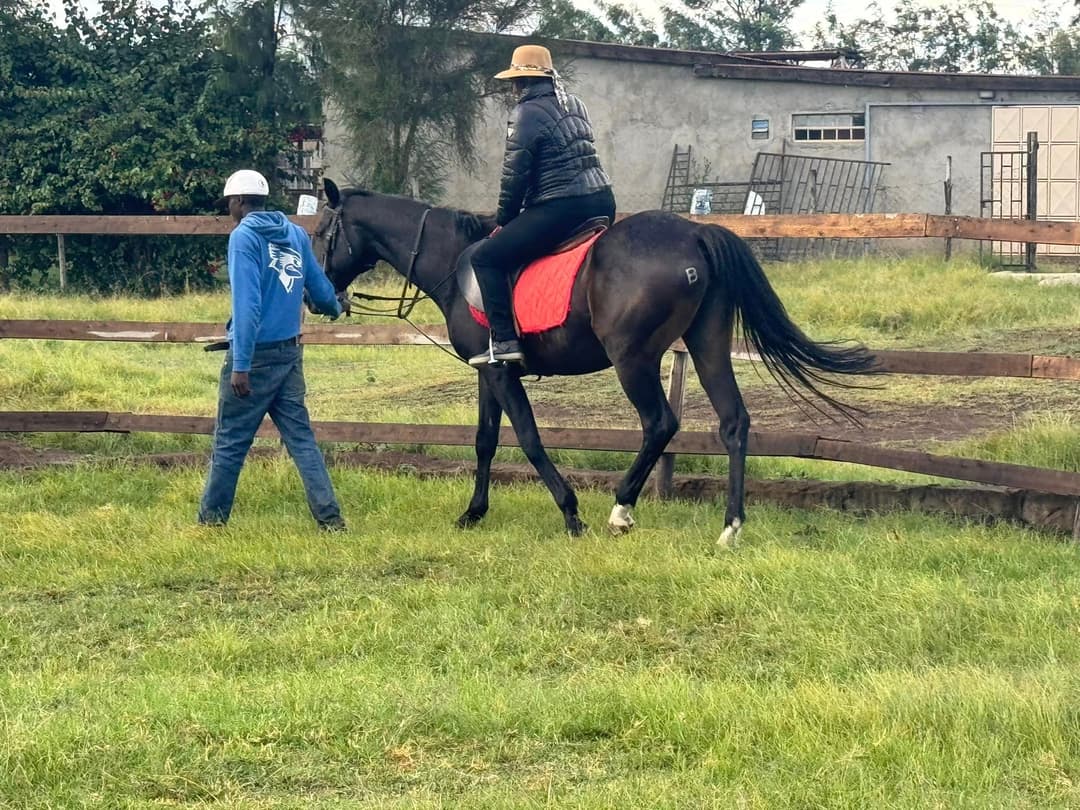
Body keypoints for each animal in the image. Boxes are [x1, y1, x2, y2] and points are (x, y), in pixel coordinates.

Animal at [312, 178, 876, 544]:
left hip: (632, 358)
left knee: (660, 423)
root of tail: (695, 233)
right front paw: (473, 513)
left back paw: (621, 510)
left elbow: (530, 440)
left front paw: (570, 514)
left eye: (320, 232)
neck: (455, 261)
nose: (321, 298)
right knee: (733, 421)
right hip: (707, 342)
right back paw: (729, 527)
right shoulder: (487, 370)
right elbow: (485, 441)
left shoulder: (499, 371)